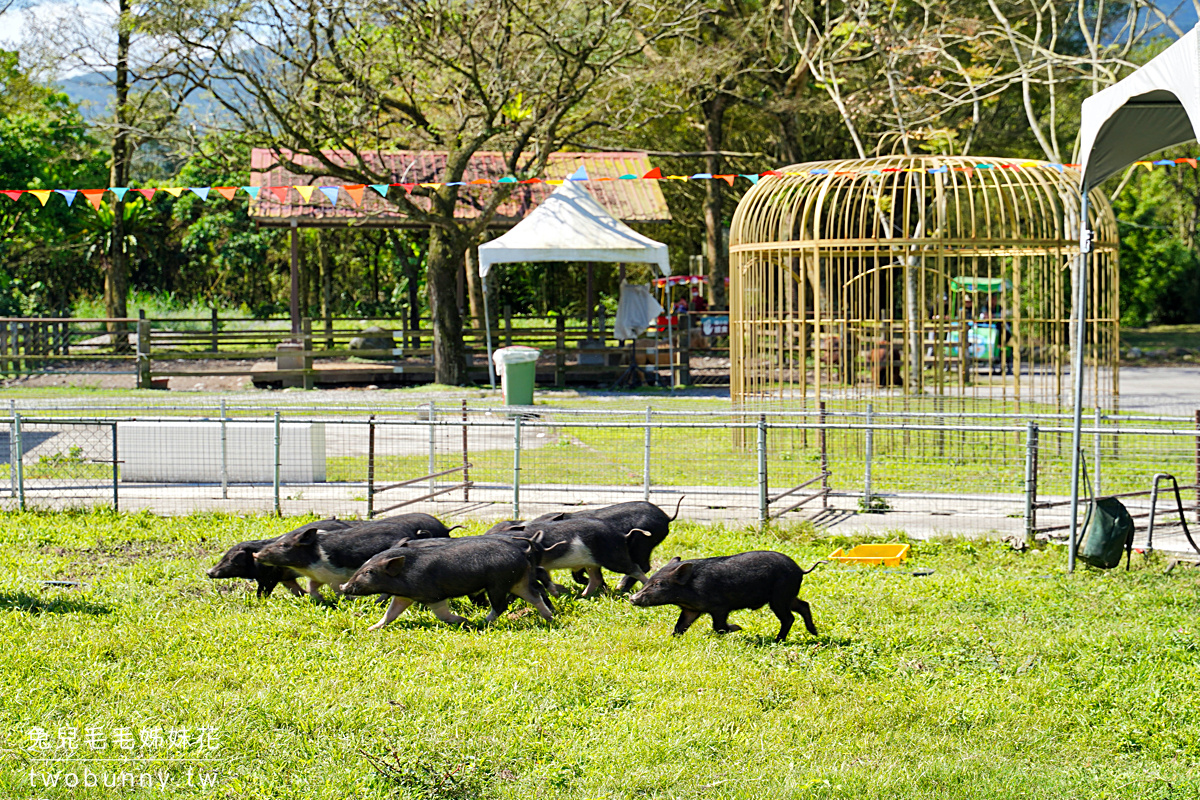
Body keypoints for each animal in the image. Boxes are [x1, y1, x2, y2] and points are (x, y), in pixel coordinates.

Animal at [628, 554, 825, 642]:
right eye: (650, 580)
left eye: (658, 583)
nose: (632, 598)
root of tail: (800, 570)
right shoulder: (691, 609)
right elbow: (680, 626)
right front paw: (671, 638)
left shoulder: (720, 607)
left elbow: (719, 626)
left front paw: (739, 628)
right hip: (788, 596)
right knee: (804, 605)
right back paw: (814, 632)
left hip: (779, 597)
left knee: (788, 617)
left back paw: (778, 640)